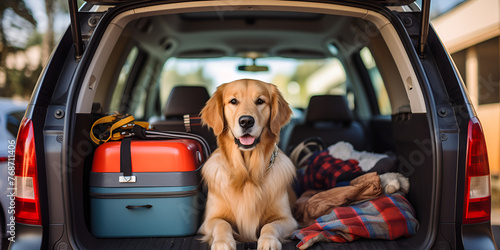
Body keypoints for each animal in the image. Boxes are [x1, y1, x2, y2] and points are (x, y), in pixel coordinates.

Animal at [197, 79, 296, 249]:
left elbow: (270, 225)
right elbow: (222, 224)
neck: (248, 175)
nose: (246, 121)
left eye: (260, 101)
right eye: (233, 101)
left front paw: (268, 241)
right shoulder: (209, 220)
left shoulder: (288, 220)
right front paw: (223, 242)